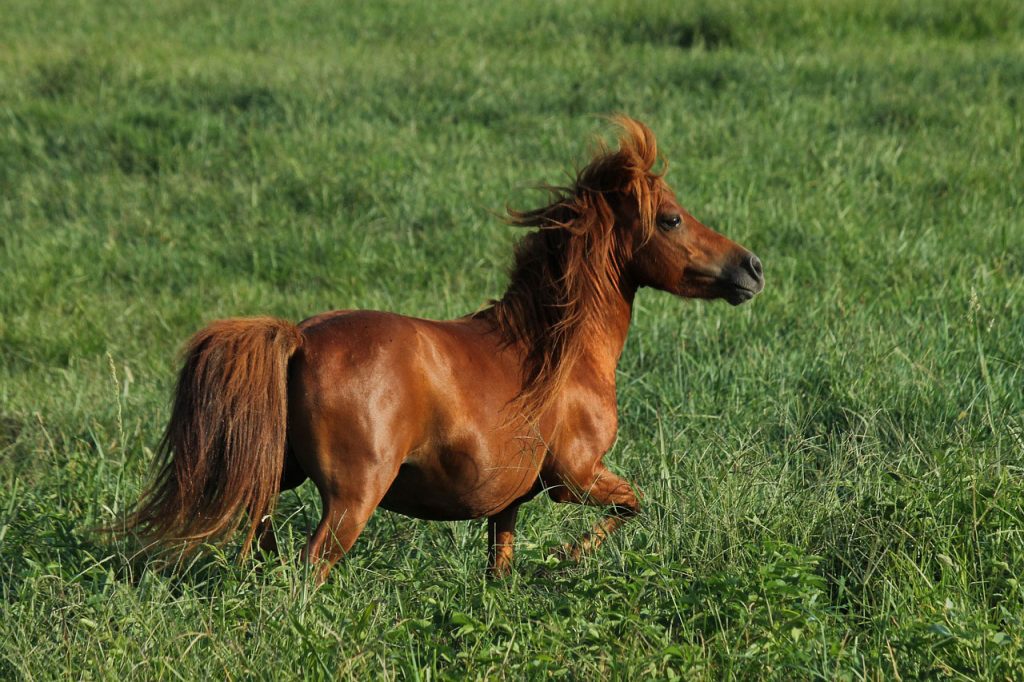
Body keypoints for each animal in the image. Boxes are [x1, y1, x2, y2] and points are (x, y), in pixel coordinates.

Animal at [124, 117, 765, 582]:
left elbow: (500, 564)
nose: (753, 268)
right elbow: (634, 505)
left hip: (277, 474)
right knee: (308, 568)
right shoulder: (576, 477)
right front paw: (567, 557)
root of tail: (300, 339)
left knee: (259, 539)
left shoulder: (509, 501)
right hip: (352, 498)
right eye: (672, 219)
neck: (558, 353)